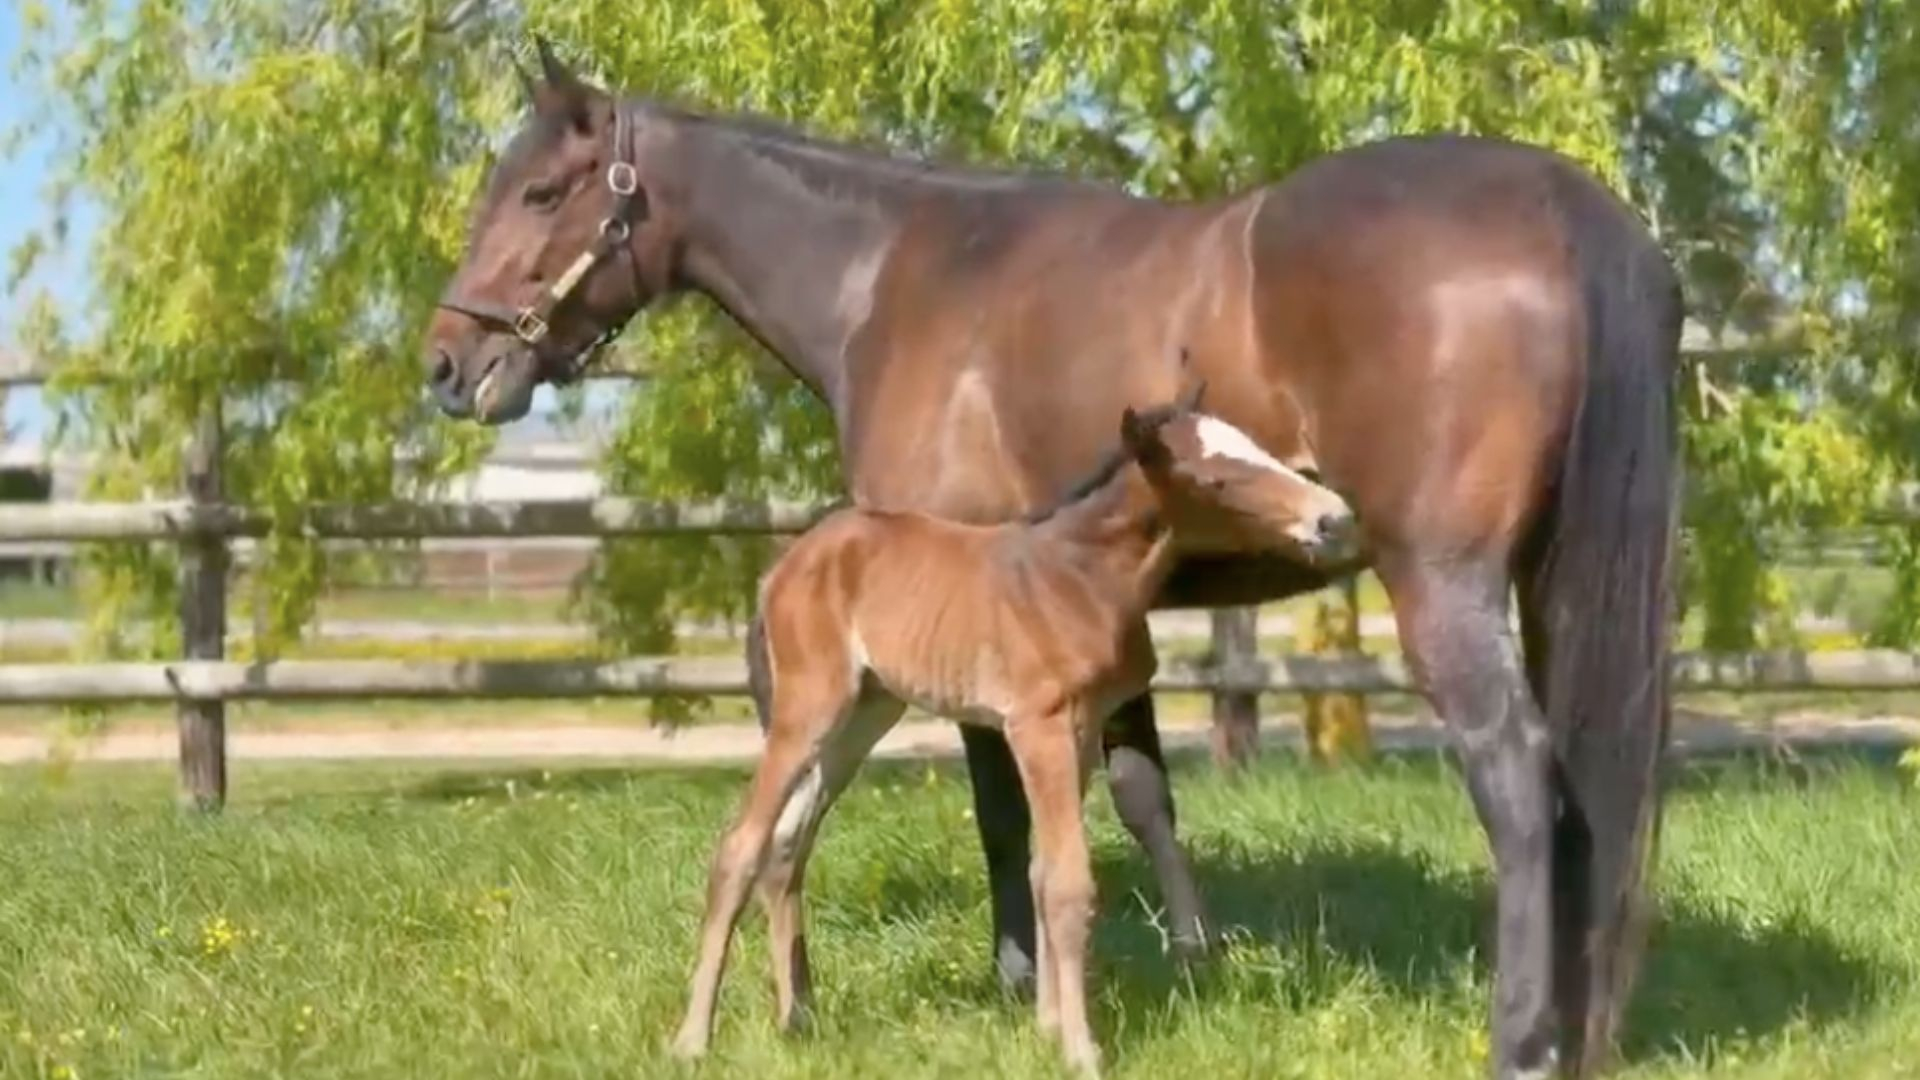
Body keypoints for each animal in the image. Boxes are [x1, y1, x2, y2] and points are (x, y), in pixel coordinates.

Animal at [671, 382, 1358, 1075]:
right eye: (1214, 479)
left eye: (1256, 446)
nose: (1333, 518)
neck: (1082, 576)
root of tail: (786, 565)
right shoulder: (1038, 727)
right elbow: (1068, 881)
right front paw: (1081, 1050)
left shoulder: (1080, 729)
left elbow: (1041, 870)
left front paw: (1049, 1028)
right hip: (809, 704)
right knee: (740, 844)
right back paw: (692, 1038)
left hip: (866, 712)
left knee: (789, 841)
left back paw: (794, 1019)